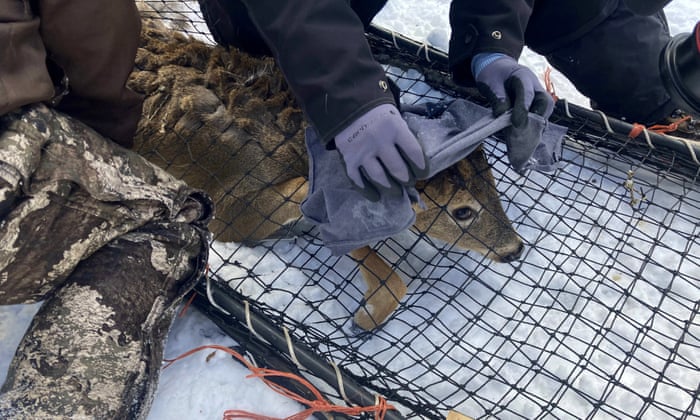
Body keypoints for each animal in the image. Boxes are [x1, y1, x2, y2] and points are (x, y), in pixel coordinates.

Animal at [128, 16, 524, 331]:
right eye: (462, 211)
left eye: (493, 186)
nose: (516, 249)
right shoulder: (231, 209)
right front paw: (366, 319)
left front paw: (368, 314)